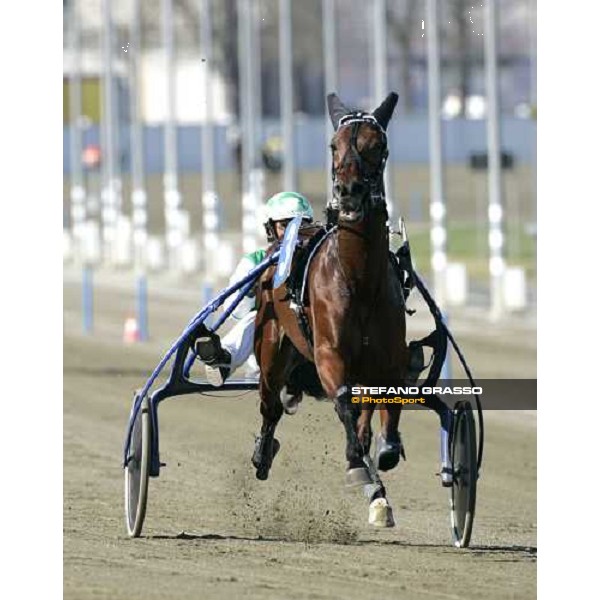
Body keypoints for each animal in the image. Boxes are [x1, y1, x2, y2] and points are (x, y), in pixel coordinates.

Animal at [251, 92, 406, 524]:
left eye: (378, 145)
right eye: (333, 145)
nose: (350, 191)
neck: (358, 278)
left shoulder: (390, 357)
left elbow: (386, 409)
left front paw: (386, 452)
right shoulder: (329, 353)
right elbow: (343, 403)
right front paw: (357, 466)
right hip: (271, 348)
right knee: (269, 404)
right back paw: (263, 453)